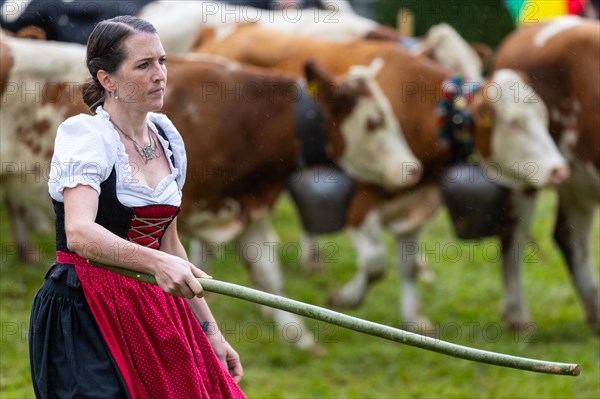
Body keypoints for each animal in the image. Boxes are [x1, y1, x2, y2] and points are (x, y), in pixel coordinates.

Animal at [193, 24, 572, 332]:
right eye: (513, 122)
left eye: (542, 115)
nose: (559, 169)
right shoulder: (360, 199)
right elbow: (376, 262)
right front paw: (347, 299)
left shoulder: (414, 200)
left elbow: (406, 264)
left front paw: (412, 319)